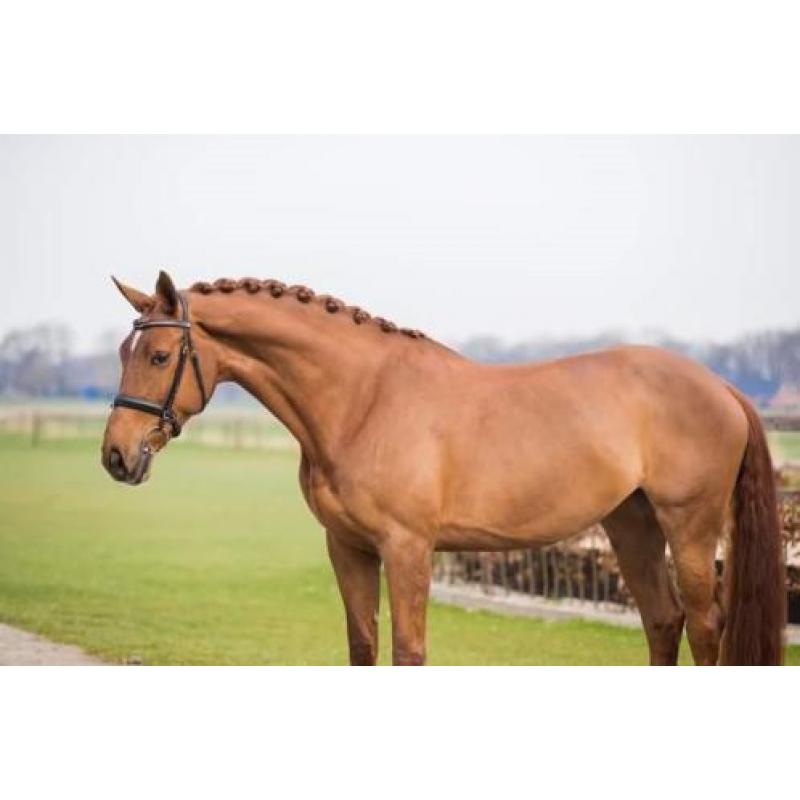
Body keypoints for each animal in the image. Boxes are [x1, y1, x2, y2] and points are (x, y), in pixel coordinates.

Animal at [101, 271, 786, 666]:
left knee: (704, 627)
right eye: (124, 350)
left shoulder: (407, 549)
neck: (364, 399)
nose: (116, 455)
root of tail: (722, 387)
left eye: (158, 355)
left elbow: (409, 651)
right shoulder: (348, 547)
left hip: (689, 527)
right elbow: (363, 646)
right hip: (631, 524)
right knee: (663, 622)